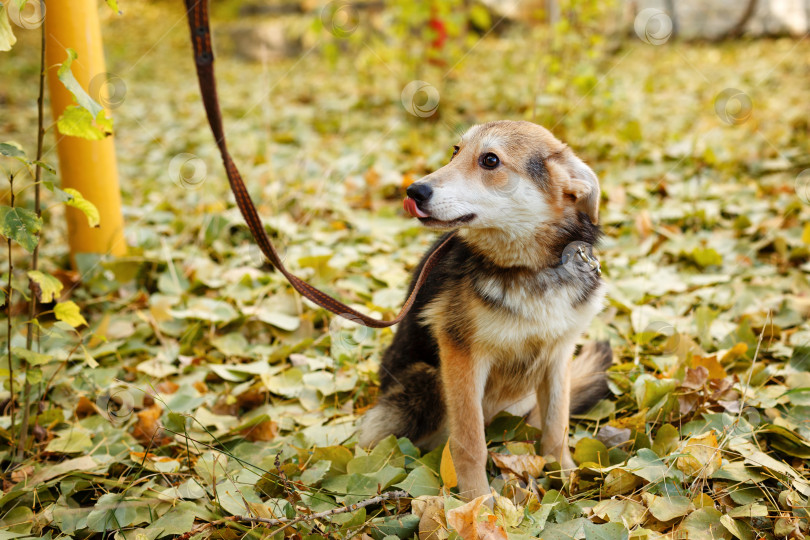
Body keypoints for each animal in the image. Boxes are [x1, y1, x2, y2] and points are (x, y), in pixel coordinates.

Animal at [356, 120, 608, 500]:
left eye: (490, 160)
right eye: (455, 151)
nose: (415, 190)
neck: (528, 269)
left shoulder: (559, 354)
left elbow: (556, 426)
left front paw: (564, 477)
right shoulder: (463, 358)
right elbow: (469, 442)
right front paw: (478, 502)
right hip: (427, 383)